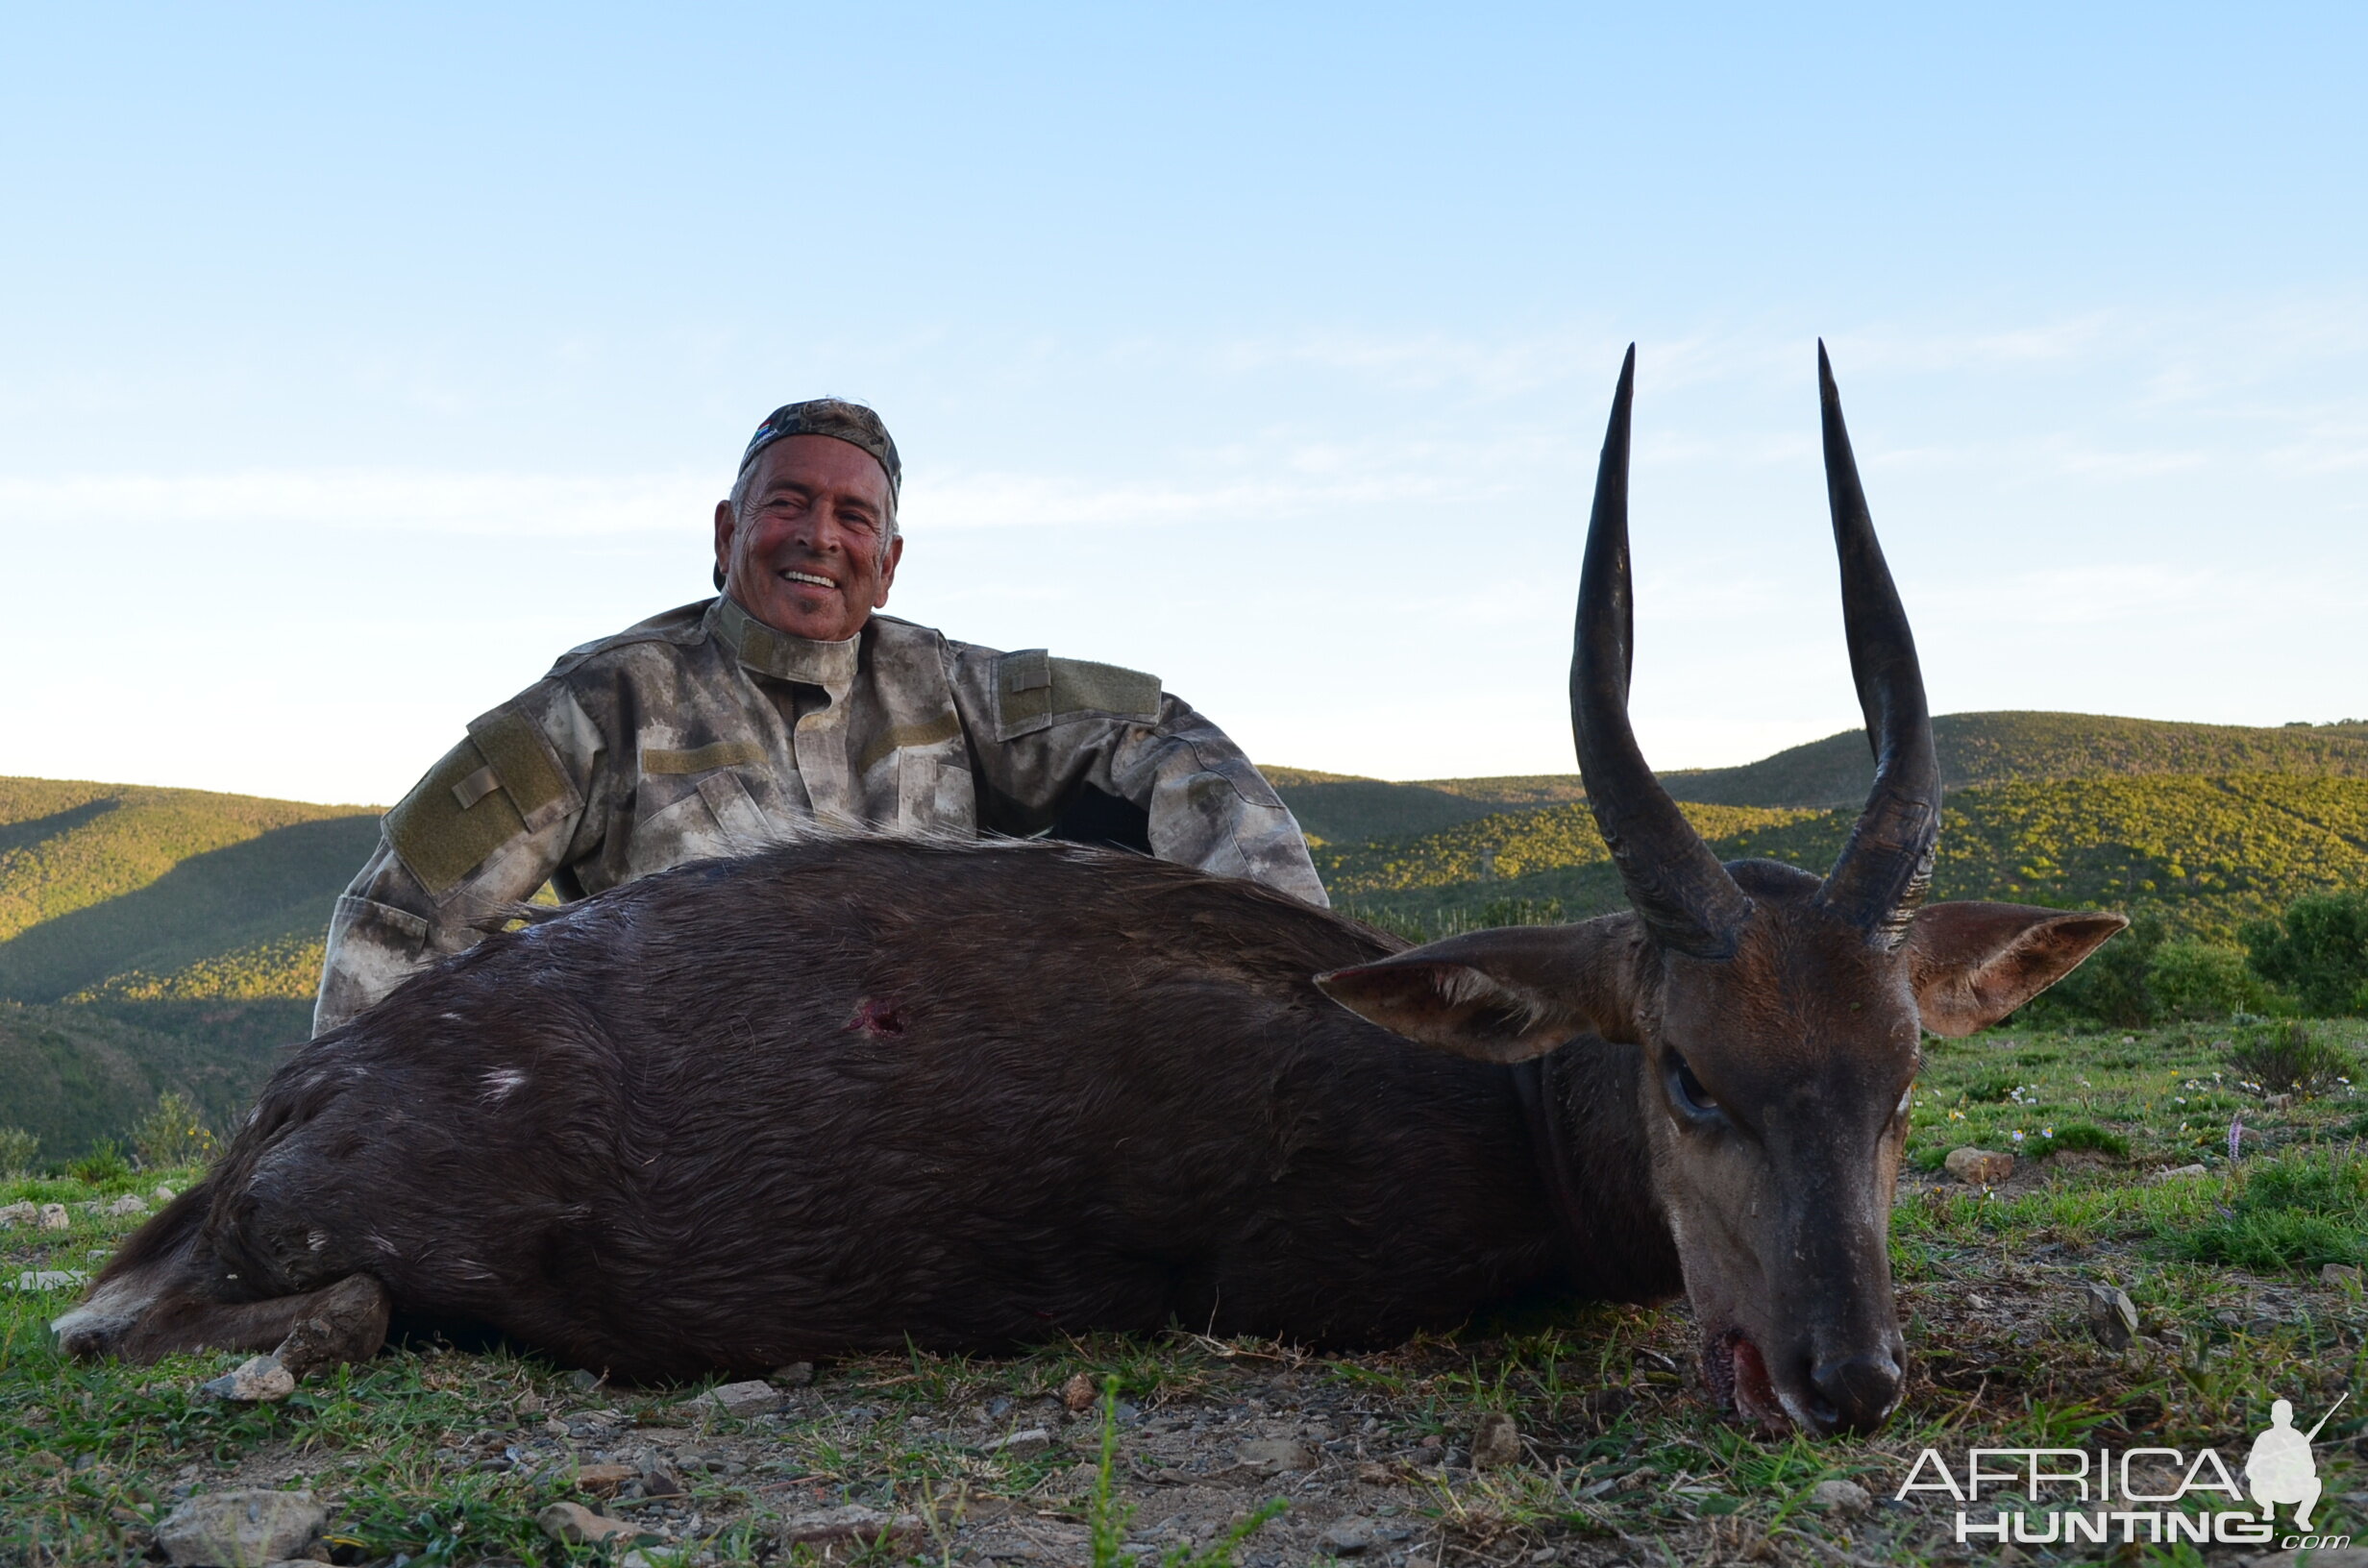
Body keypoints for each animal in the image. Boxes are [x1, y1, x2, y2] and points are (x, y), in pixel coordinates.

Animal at [60, 350, 2131, 1439]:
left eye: (1901, 1082)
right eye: (1687, 1071)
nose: (1847, 1375)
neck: (1508, 1122)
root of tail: (280, 1110)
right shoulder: (1296, 1287)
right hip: (332, 1246)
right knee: (156, 1321)